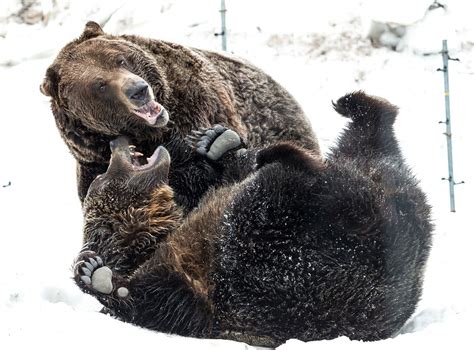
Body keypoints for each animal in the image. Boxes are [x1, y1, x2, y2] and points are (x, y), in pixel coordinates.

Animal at [40, 21, 320, 211]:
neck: (151, 136)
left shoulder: (198, 109)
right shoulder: (94, 163)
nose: (139, 90)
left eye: (120, 59)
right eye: (100, 85)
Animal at [72, 92, 432, 348]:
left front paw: (217, 142)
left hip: (372, 189)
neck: (160, 232)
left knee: (356, 149)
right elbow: (165, 304)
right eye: (102, 178)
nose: (117, 141)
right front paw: (95, 273)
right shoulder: (196, 283)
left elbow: (221, 180)